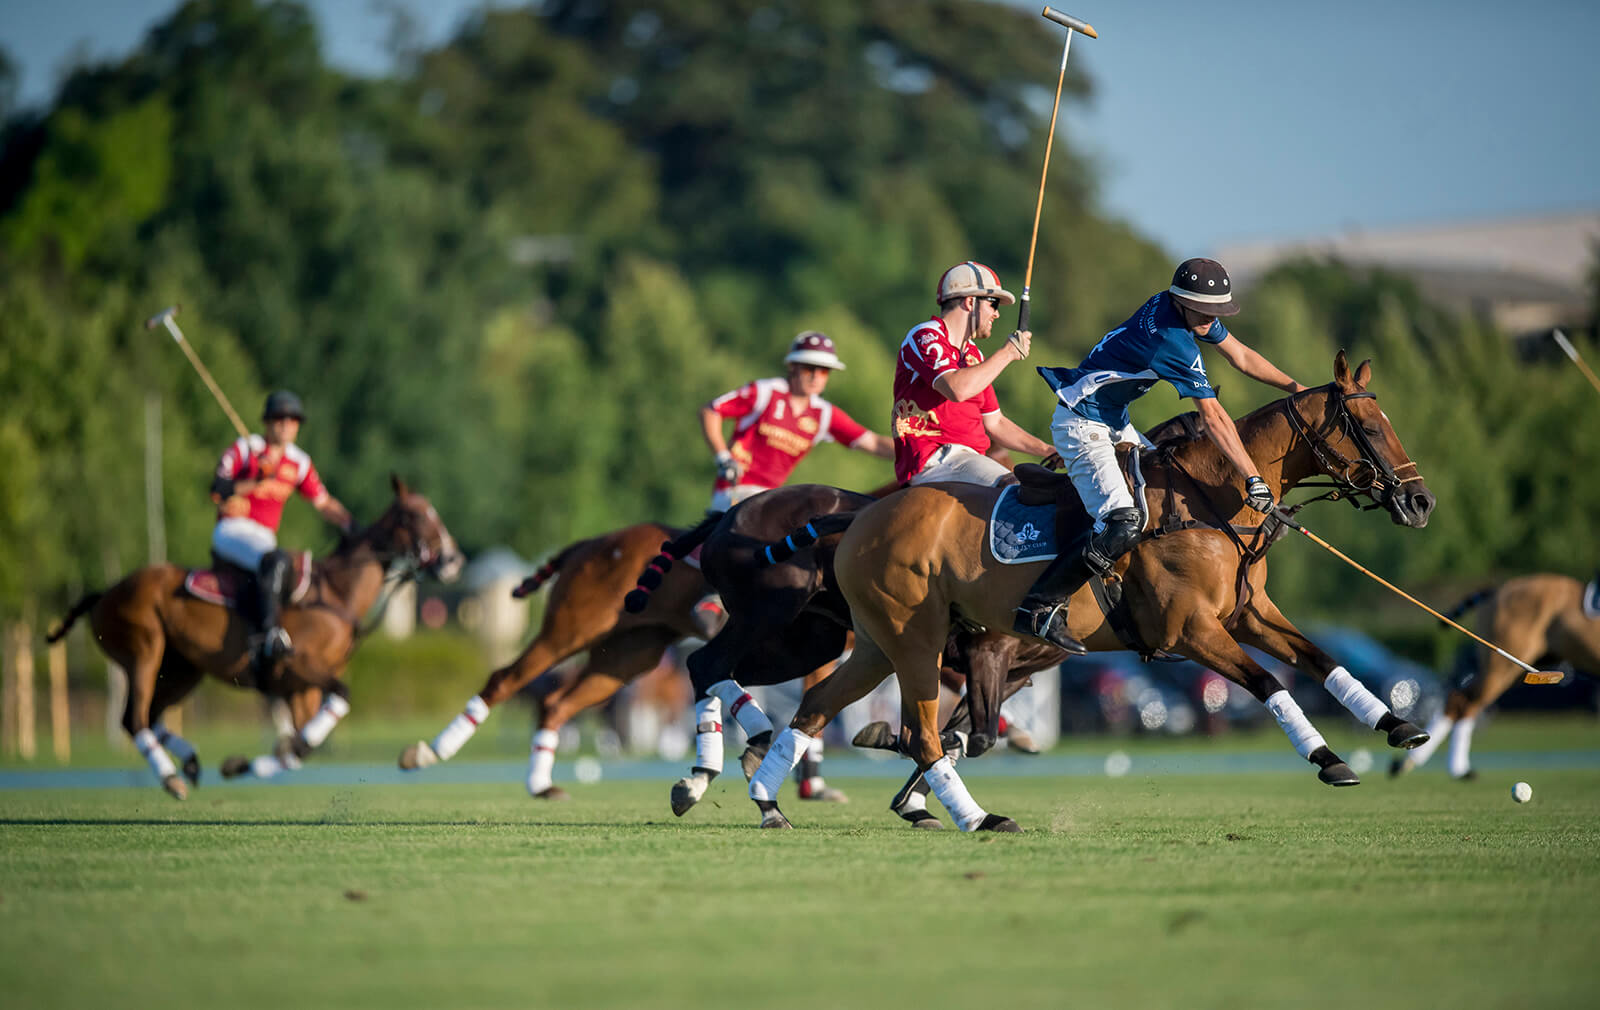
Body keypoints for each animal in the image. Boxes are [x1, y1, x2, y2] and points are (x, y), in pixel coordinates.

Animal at [46, 475, 463, 798]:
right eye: (415, 515)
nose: (454, 561)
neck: (335, 594)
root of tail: (105, 593)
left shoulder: (300, 688)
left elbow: (299, 750)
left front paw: (242, 765)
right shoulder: (298, 664)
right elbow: (337, 701)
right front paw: (258, 759)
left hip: (183, 668)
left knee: (151, 715)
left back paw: (191, 763)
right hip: (144, 650)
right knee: (133, 718)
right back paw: (170, 778)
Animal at [745, 351, 1438, 830]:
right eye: (1366, 425)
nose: (1420, 501)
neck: (1209, 501)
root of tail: (859, 516)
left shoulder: (1248, 614)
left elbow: (1320, 659)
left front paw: (1398, 725)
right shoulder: (1190, 631)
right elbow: (1269, 682)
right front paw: (1330, 759)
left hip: (875, 641)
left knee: (816, 709)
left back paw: (770, 802)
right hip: (914, 636)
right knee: (921, 733)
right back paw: (978, 818)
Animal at [1391, 573, 1600, 779]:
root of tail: (1495, 591)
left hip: (1520, 665)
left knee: (1460, 700)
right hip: (1503, 662)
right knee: (1465, 701)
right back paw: (1452, 768)